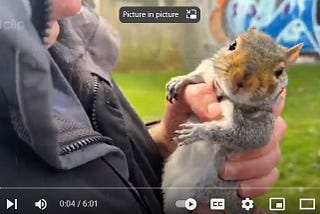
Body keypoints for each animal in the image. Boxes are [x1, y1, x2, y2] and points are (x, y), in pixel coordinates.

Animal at [162, 27, 302, 214]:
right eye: (232, 45)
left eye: (279, 72)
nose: (240, 79)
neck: (225, 96)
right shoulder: (211, 71)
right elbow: (202, 70)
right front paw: (180, 80)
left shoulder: (262, 122)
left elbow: (245, 136)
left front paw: (198, 131)